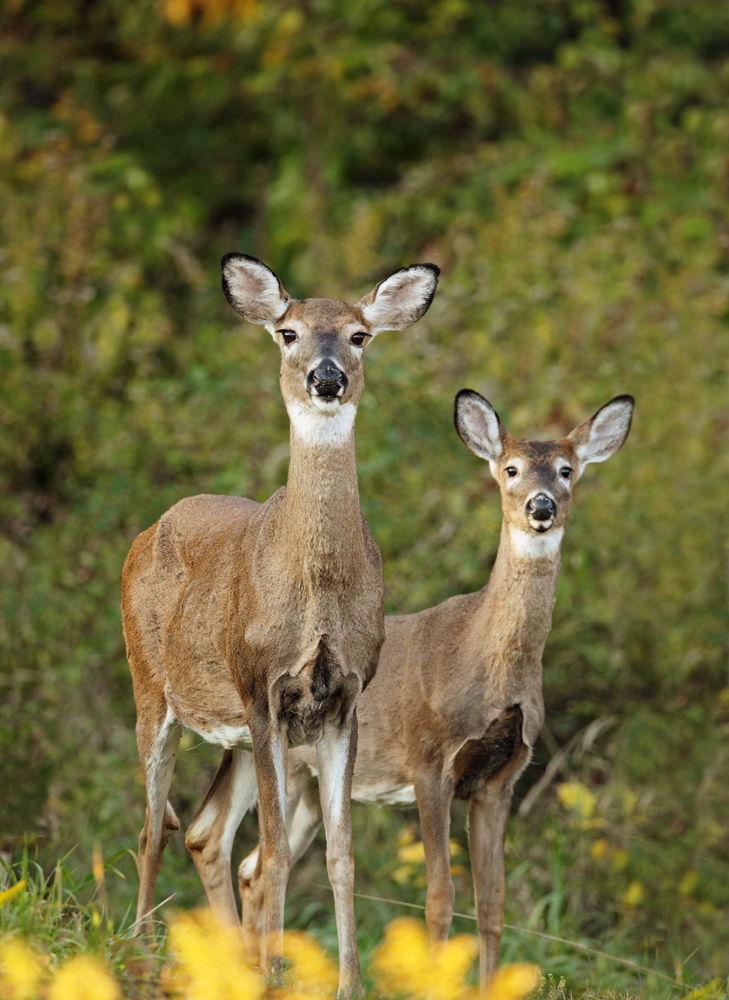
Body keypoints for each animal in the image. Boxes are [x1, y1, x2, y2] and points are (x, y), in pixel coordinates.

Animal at [121, 253, 440, 994]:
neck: (316, 591)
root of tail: (146, 532)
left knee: (204, 831)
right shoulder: (262, 685)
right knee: (153, 826)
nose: (328, 379)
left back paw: (226, 965)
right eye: (288, 332)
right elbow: (271, 849)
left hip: (236, 733)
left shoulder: (340, 700)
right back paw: (142, 952)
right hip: (153, 689)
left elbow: (339, 854)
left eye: (359, 335)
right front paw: (273, 973)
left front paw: (347, 984)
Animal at [238, 390, 634, 992]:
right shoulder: (429, 762)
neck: (484, 664)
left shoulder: (501, 779)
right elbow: (440, 899)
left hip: (308, 783)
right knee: (251, 860)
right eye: (510, 468)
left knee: (250, 866)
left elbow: (492, 906)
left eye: (567, 470)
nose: (541, 505)